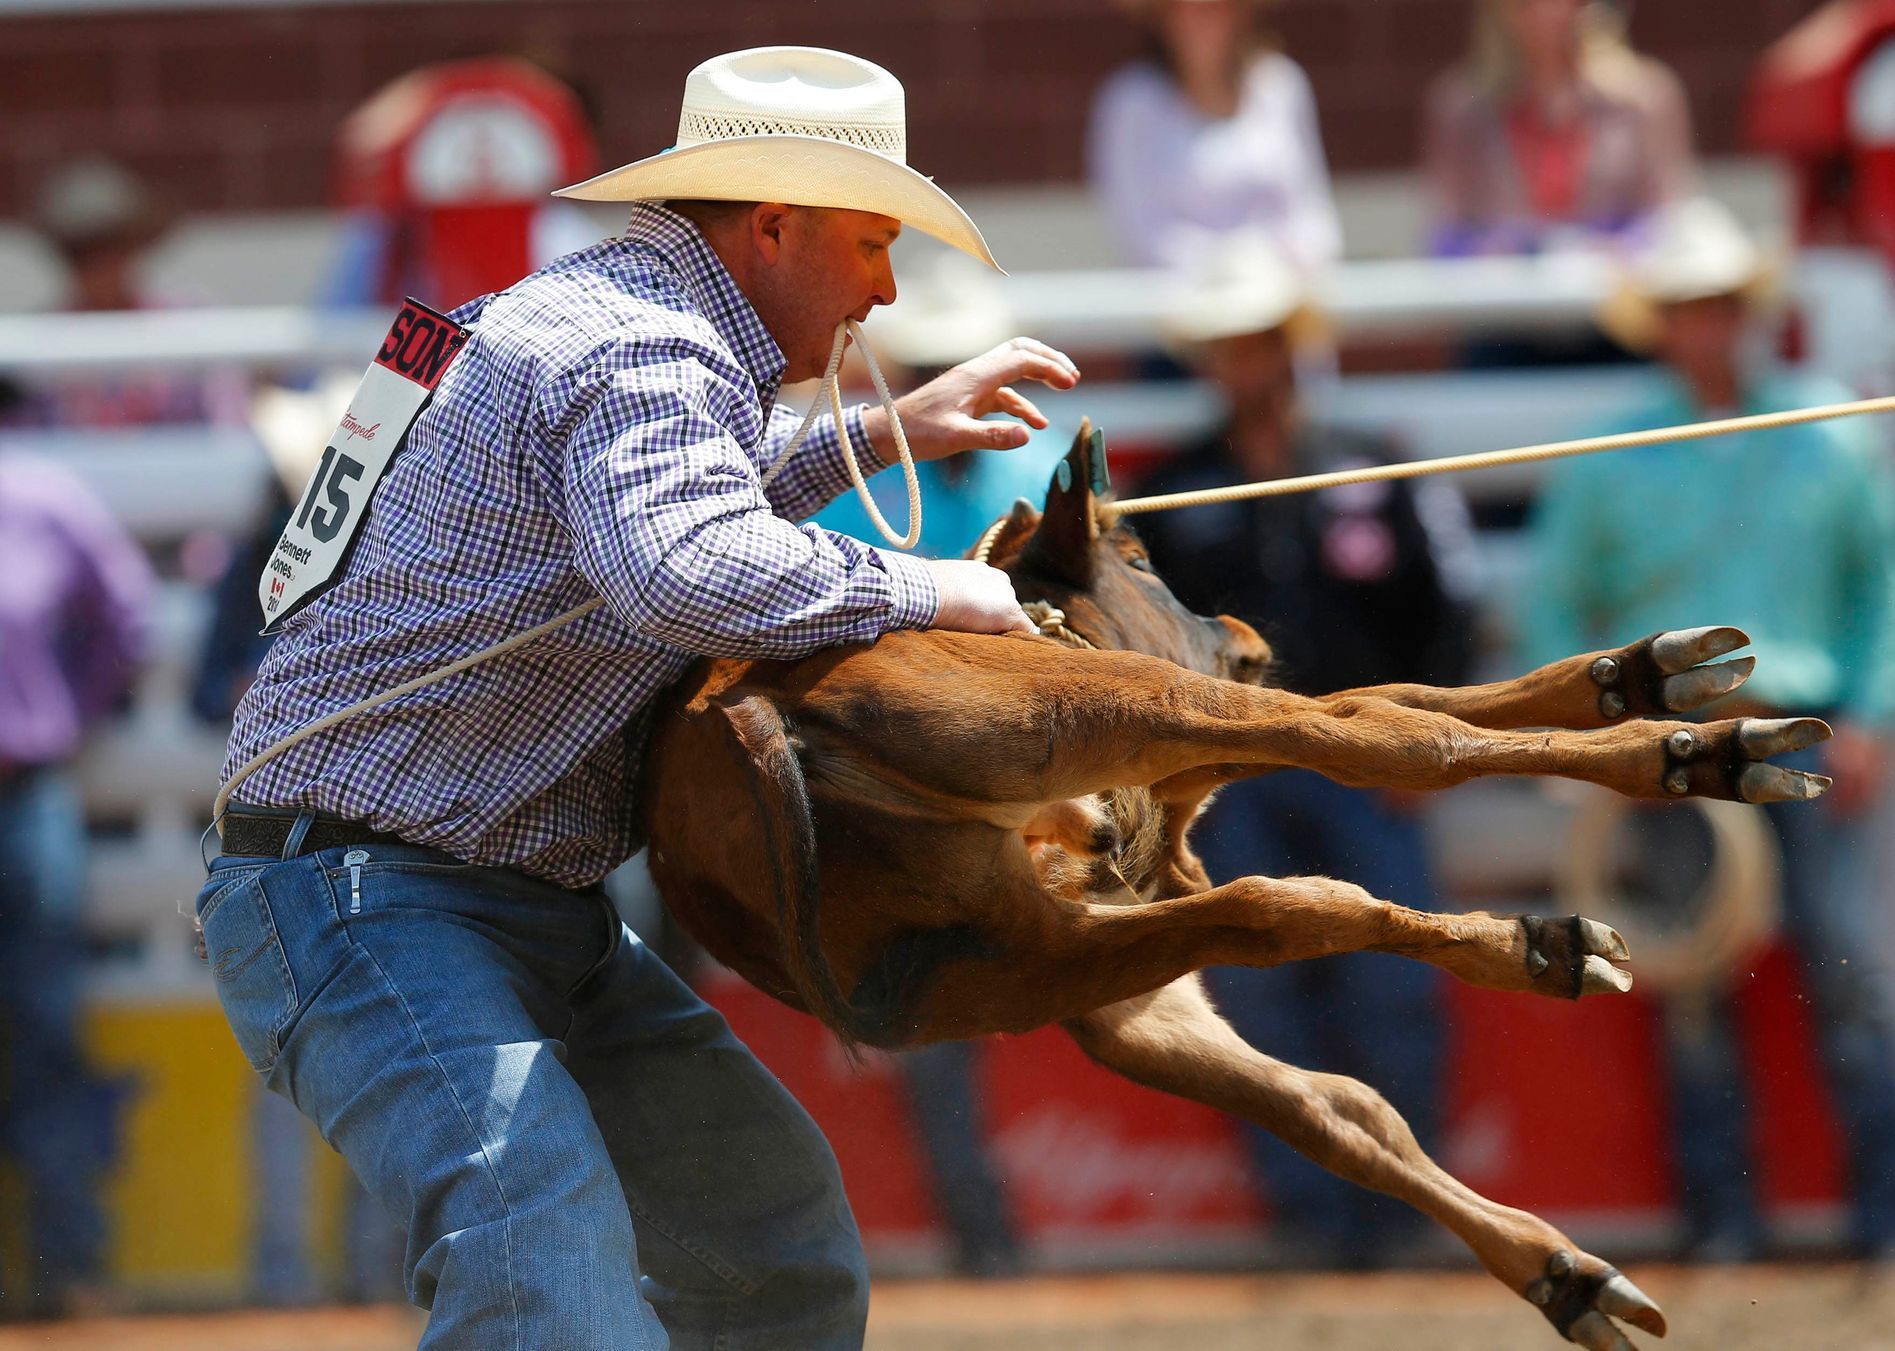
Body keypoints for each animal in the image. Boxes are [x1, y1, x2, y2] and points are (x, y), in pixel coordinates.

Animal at [644, 424, 1826, 1349]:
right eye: (1140, 553)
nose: (1248, 637)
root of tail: (749, 709)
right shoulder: (1192, 737)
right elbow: (1389, 716)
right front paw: (1661, 715)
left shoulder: (1137, 940)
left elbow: (1393, 705)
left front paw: (1633, 673)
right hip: (1126, 712)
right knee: (1380, 772)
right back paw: (1657, 802)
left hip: (1036, 968)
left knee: (1309, 1035)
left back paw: (1563, 1241)